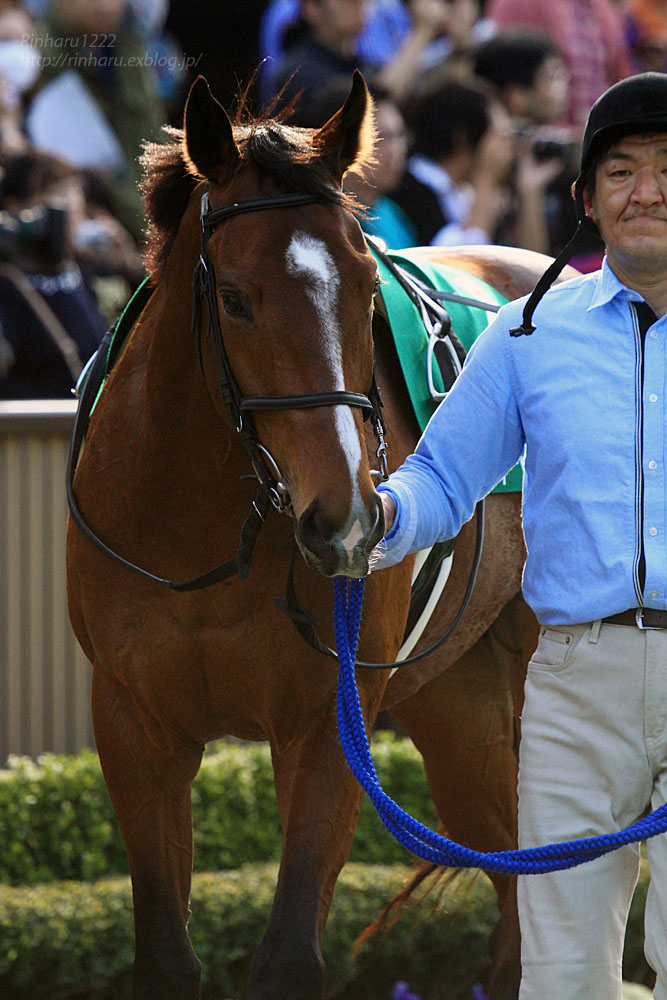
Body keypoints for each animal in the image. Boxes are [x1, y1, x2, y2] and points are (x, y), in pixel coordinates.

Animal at [65, 72, 552, 1000]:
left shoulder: (326, 722)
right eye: (233, 297)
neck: (199, 536)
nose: (346, 518)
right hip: (460, 700)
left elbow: (289, 952)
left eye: (364, 287)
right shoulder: (134, 721)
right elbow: (165, 955)